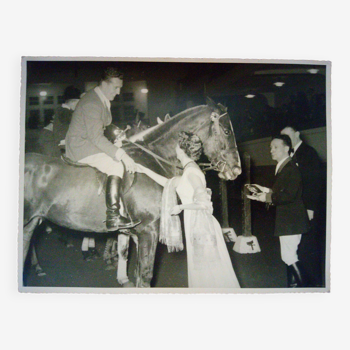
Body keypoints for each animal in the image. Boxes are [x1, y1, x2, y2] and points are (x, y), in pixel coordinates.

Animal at [21, 98, 241, 288]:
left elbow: (130, 263)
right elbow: (145, 276)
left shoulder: (135, 233)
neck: (152, 160)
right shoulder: (148, 231)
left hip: (30, 223)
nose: (236, 170)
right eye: (227, 131)